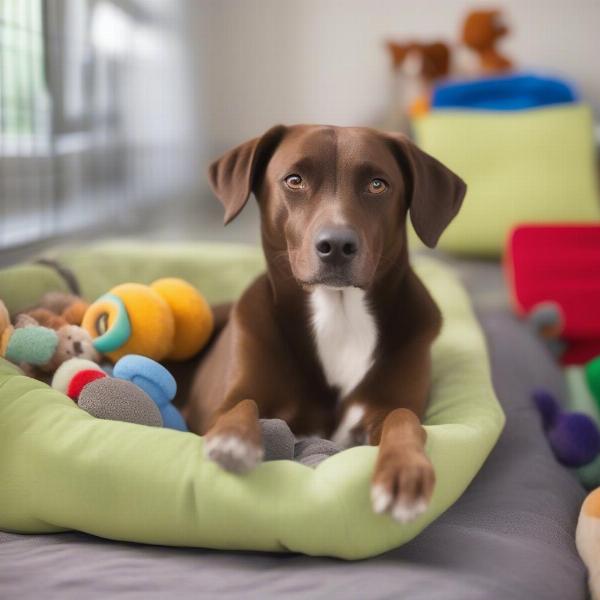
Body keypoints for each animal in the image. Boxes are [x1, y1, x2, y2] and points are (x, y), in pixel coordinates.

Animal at [185, 124, 466, 524]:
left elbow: (404, 420)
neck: (339, 316)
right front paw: (234, 439)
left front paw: (405, 471)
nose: (336, 245)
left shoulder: (391, 408)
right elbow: (241, 406)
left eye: (377, 185)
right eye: (294, 180)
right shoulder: (222, 404)